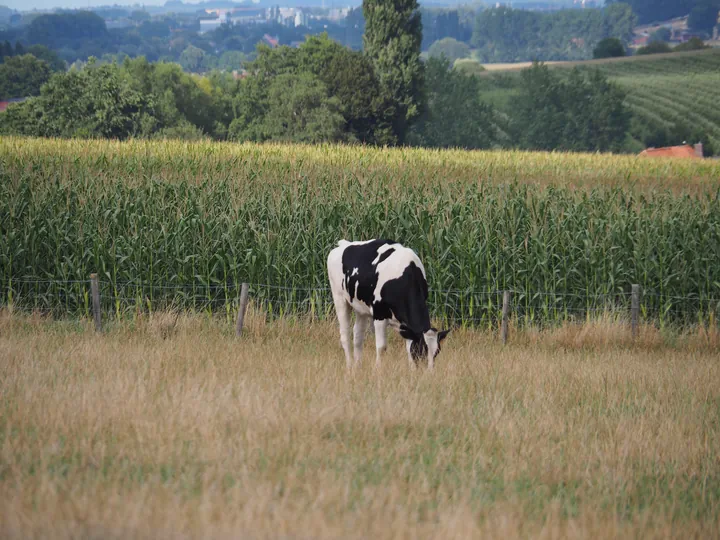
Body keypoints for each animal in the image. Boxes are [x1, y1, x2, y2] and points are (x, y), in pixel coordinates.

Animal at [328, 238, 450, 370]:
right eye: (421, 350)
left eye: (437, 352)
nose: (429, 372)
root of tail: (344, 243)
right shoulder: (379, 314)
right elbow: (381, 347)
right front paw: (378, 369)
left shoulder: (407, 326)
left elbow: (408, 347)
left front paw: (412, 370)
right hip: (339, 298)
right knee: (345, 335)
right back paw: (350, 366)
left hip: (360, 307)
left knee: (358, 336)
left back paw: (358, 366)